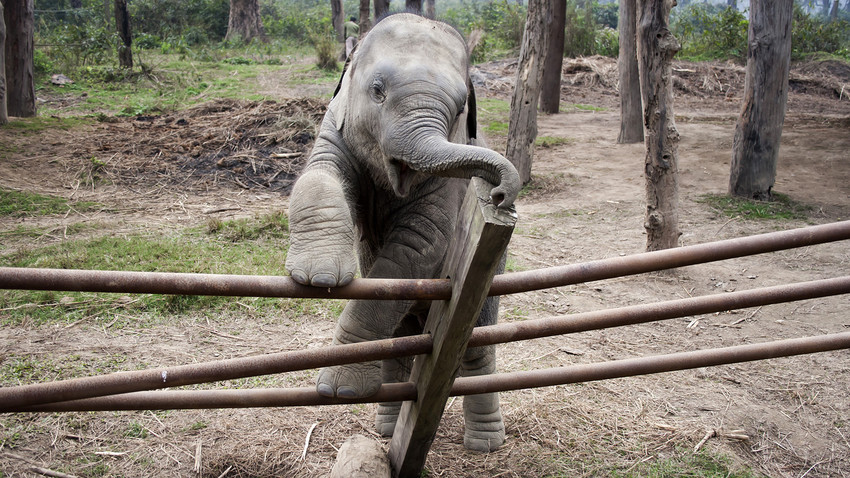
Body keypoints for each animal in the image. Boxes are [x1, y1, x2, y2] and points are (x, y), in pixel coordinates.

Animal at [284, 12, 520, 452]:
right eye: (377, 91)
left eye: (460, 108)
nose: (499, 193)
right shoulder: (336, 125)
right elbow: (319, 174)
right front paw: (319, 278)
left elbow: (419, 243)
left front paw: (338, 391)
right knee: (399, 345)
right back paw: (387, 430)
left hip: (491, 279)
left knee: (475, 349)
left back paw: (485, 445)